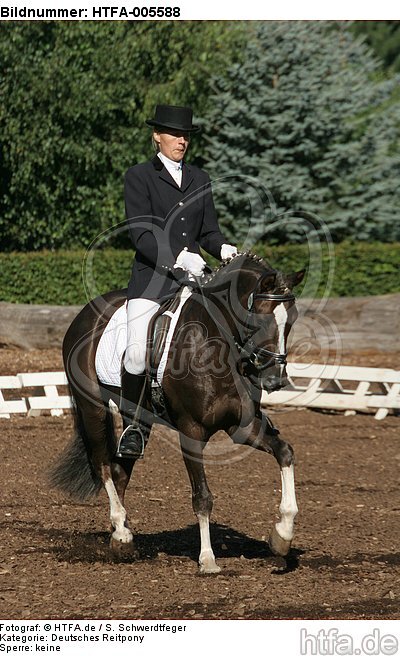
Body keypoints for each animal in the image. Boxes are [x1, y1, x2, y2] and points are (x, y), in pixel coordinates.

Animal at [51, 252, 304, 574]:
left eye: (292, 320)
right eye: (259, 319)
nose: (274, 380)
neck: (217, 346)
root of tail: (85, 313)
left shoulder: (243, 427)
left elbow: (284, 453)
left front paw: (282, 536)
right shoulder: (191, 430)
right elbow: (202, 497)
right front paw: (207, 559)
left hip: (138, 416)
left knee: (122, 467)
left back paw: (122, 538)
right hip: (92, 408)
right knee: (104, 465)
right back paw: (121, 531)